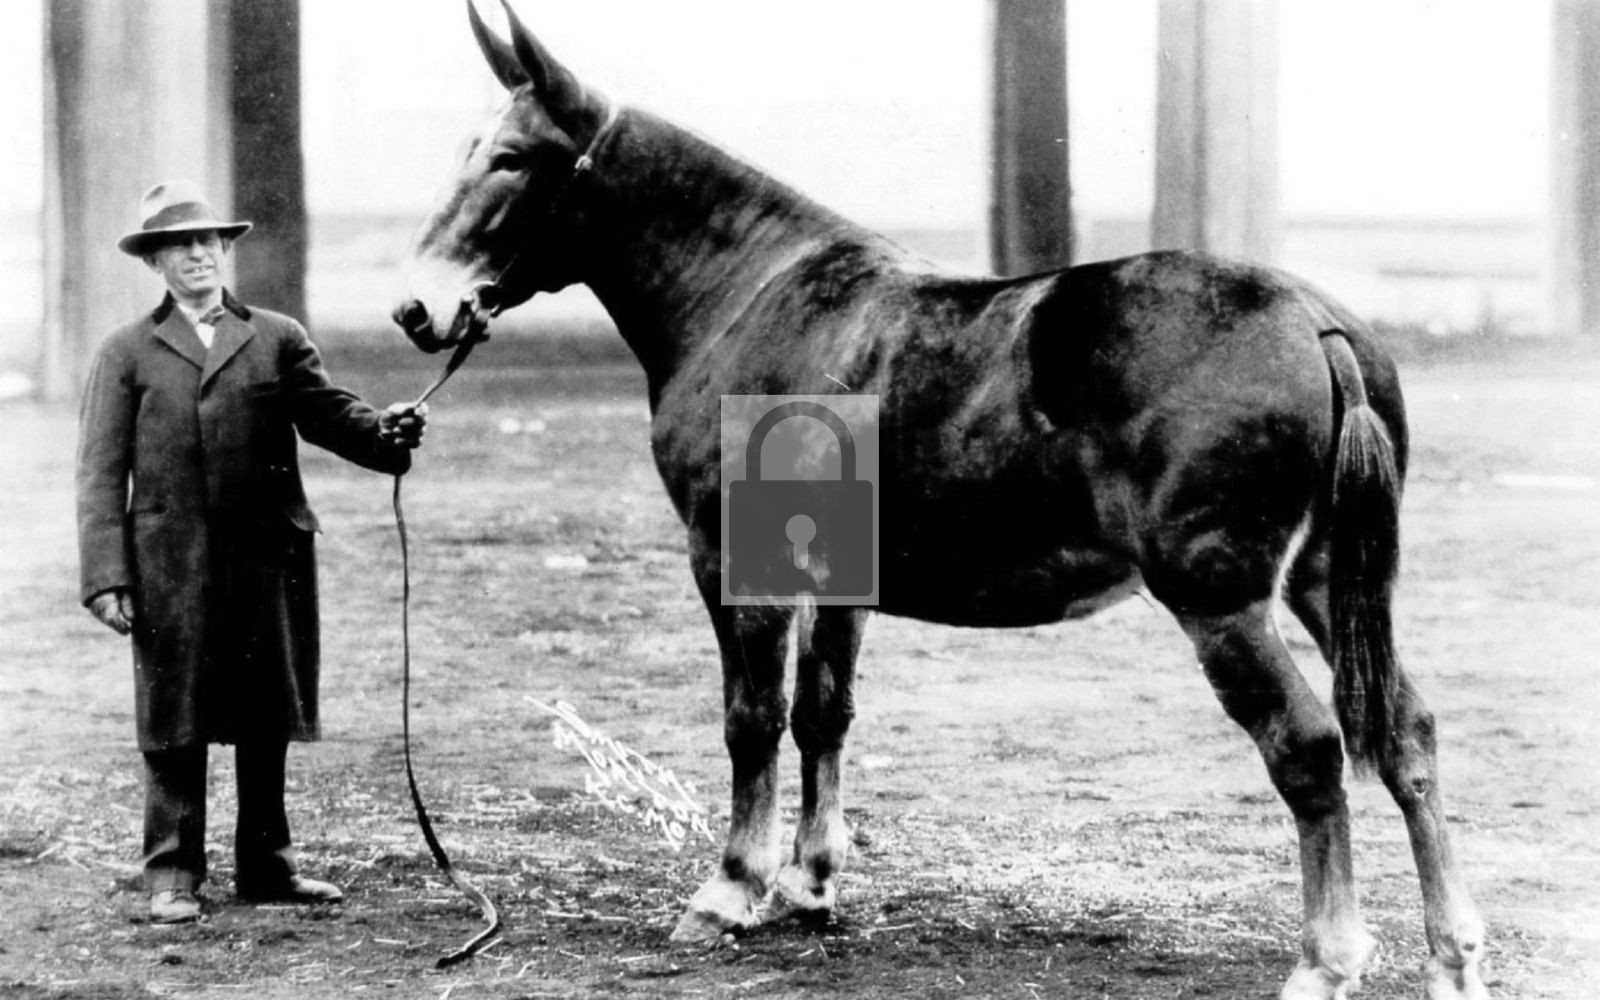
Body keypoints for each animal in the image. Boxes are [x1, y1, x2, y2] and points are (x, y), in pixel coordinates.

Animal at [392, 4, 1488, 997]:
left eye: (510, 159)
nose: (416, 308)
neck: (752, 301)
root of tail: (1316, 322)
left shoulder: (732, 562)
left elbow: (753, 718)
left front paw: (730, 890)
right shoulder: (837, 581)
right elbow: (822, 714)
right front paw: (811, 884)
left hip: (1221, 599)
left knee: (1309, 748)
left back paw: (1326, 961)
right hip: (1329, 581)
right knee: (1406, 734)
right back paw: (1454, 955)